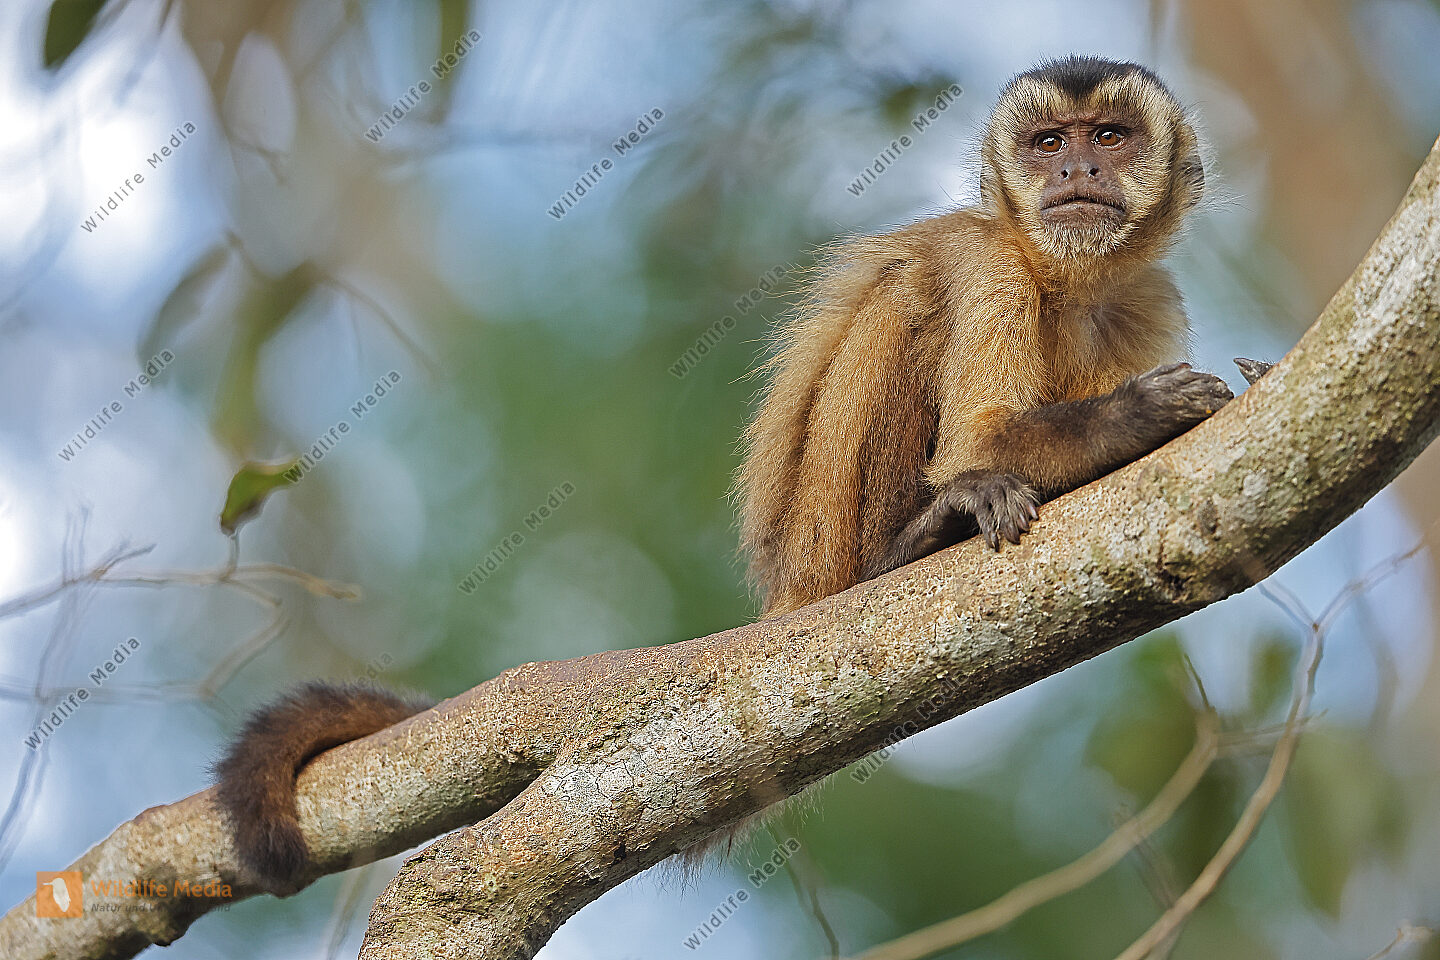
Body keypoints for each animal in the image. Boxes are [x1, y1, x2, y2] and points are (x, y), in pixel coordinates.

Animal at [738, 55, 1260, 619]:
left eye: (1109, 137)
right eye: (1050, 143)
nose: (1077, 169)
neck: (1062, 277)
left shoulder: (1151, 298)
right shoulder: (996, 264)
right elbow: (980, 440)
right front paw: (1138, 411)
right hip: (818, 543)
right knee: (904, 294)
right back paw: (897, 548)